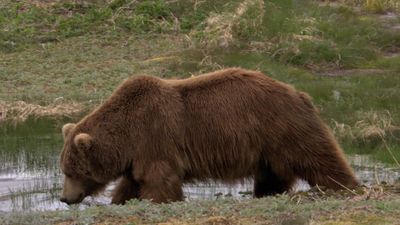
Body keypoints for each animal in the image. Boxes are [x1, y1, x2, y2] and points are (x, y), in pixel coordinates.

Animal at [60, 67, 360, 204]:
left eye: (73, 172)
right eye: (65, 169)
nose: (65, 198)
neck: (127, 135)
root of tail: (298, 92)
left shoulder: (155, 138)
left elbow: (160, 181)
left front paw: (162, 200)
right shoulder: (138, 155)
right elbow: (132, 183)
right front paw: (120, 200)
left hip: (281, 126)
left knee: (317, 157)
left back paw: (346, 186)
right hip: (267, 147)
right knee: (272, 175)